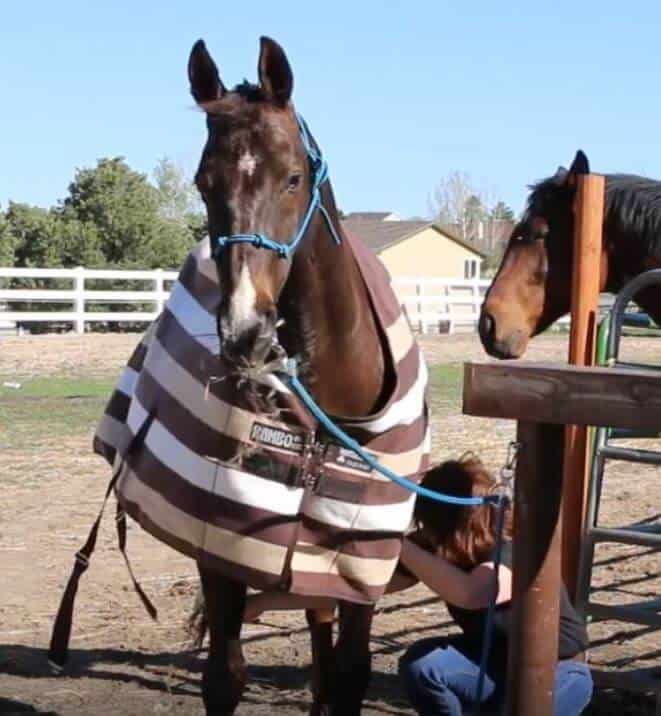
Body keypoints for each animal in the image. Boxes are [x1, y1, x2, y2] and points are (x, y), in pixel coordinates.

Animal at [187, 37, 413, 716]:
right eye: (204, 183)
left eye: (292, 178)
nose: (245, 331)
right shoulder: (225, 542)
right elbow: (225, 675)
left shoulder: (362, 558)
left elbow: (352, 672)